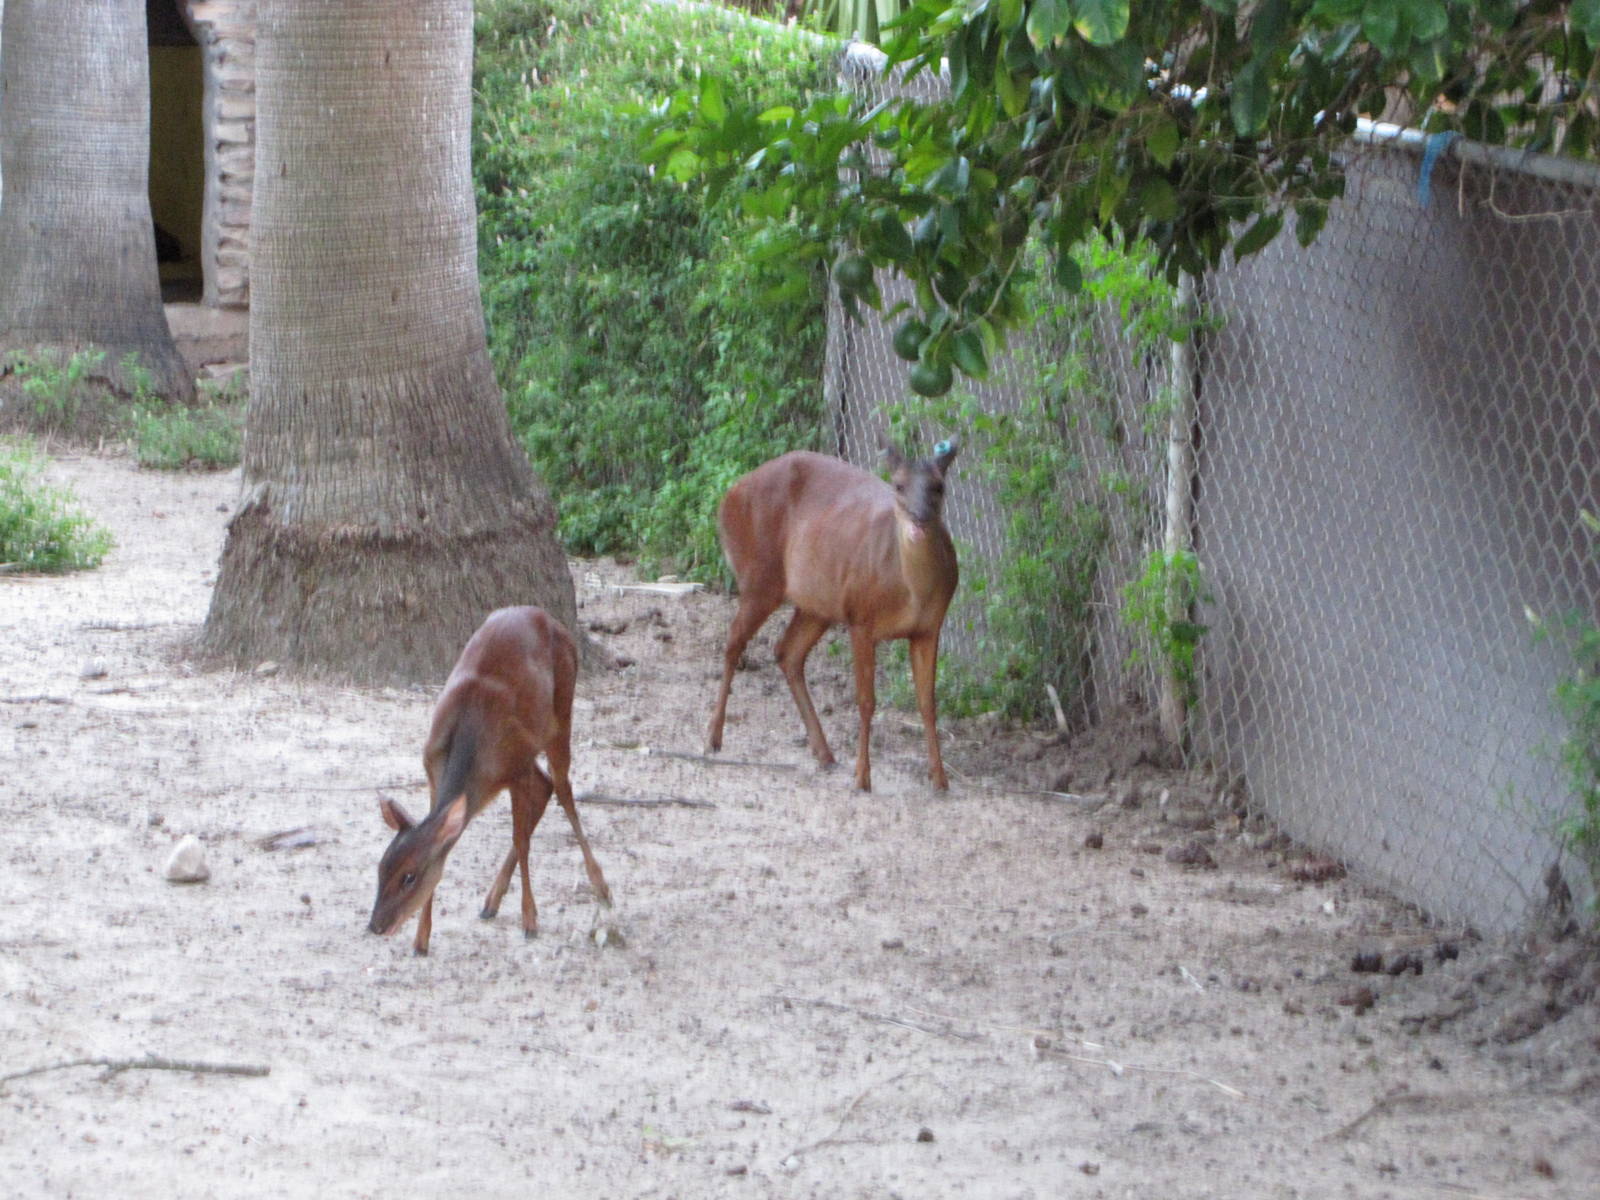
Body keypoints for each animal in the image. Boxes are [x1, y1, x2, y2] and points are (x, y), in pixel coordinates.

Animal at [368, 606, 612, 955]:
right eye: (381, 867)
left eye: (409, 877)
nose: (376, 925)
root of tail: (550, 619)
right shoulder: (434, 772)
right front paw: (421, 939)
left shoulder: (516, 767)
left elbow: (522, 840)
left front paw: (530, 921)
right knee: (546, 785)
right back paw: (491, 901)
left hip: (561, 711)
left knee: (562, 788)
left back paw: (601, 887)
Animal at [705, 439, 960, 792]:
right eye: (898, 485)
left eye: (939, 486)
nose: (920, 519)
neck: (910, 592)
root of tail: (729, 494)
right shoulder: (860, 617)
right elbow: (866, 701)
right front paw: (863, 777)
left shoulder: (929, 627)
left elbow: (927, 702)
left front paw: (940, 779)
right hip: (760, 577)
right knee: (733, 642)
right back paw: (714, 738)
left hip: (817, 603)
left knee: (787, 652)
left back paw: (824, 752)